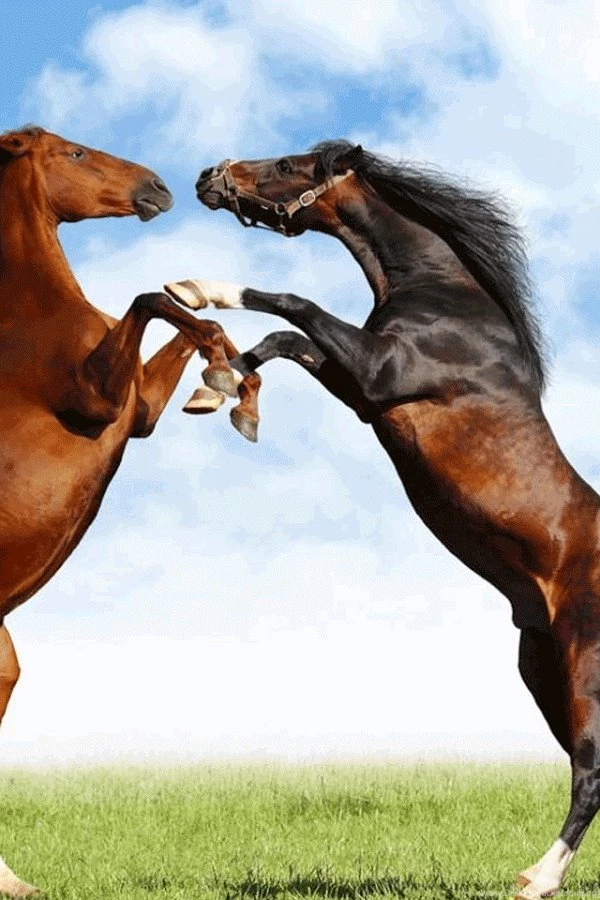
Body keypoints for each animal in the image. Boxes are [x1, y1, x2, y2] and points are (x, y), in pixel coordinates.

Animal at [0, 125, 260, 897]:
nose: (161, 188)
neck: (26, 314)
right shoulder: (98, 398)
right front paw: (222, 377)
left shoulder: (137, 412)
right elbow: (150, 301)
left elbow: (186, 322)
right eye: (75, 154)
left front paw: (226, 378)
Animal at [164, 143, 600, 899]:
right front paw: (219, 391)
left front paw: (197, 291)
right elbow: (283, 339)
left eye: (289, 164)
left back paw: (538, 877)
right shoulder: (361, 390)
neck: (445, 299)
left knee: (590, 767)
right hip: (540, 666)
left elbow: (292, 304)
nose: (208, 178)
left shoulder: (379, 374)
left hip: (584, 661)